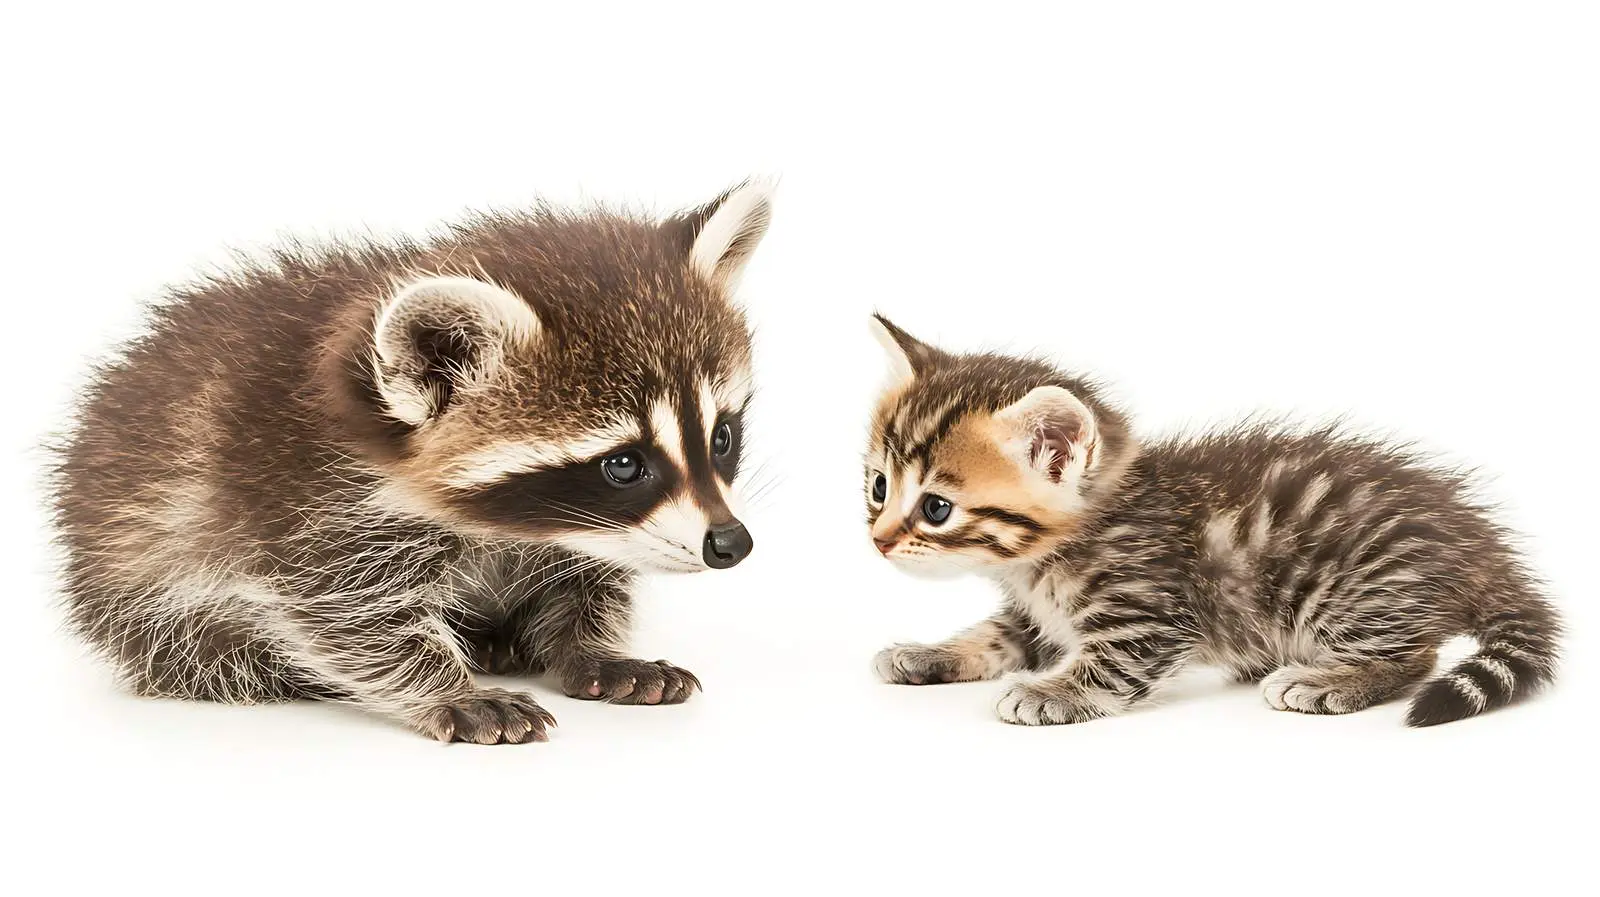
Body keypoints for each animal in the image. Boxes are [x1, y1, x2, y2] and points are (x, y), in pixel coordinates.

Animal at [49, 182, 774, 743]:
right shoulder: (310, 509)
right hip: (138, 589)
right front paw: (444, 686)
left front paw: (592, 647)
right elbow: (352, 619)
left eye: (721, 436)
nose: (730, 543)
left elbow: (588, 587)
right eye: (623, 464)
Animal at [864, 315, 1561, 727]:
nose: (878, 541)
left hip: (1346, 590)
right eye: (877, 486)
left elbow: (1111, 664)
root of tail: (1473, 542)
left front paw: (1049, 692)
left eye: (936, 508)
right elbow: (996, 636)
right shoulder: (1038, 614)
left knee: (1416, 656)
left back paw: (1327, 679)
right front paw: (928, 653)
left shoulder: (1149, 610)